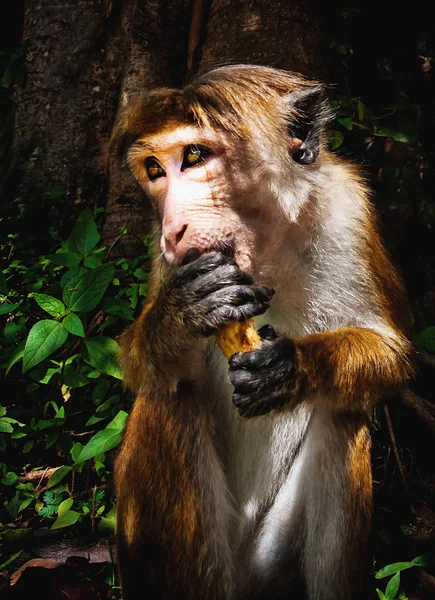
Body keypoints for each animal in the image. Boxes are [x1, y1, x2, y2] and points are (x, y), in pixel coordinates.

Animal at [110, 65, 414, 600]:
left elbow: (390, 353)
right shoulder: (168, 263)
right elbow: (138, 364)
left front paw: (291, 367)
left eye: (194, 156)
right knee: (170, 399)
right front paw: (181, 314)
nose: (172, 229)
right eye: (155, 170)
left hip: (274, 567)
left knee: (343, 413)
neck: (268, 249)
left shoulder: (349, 209)